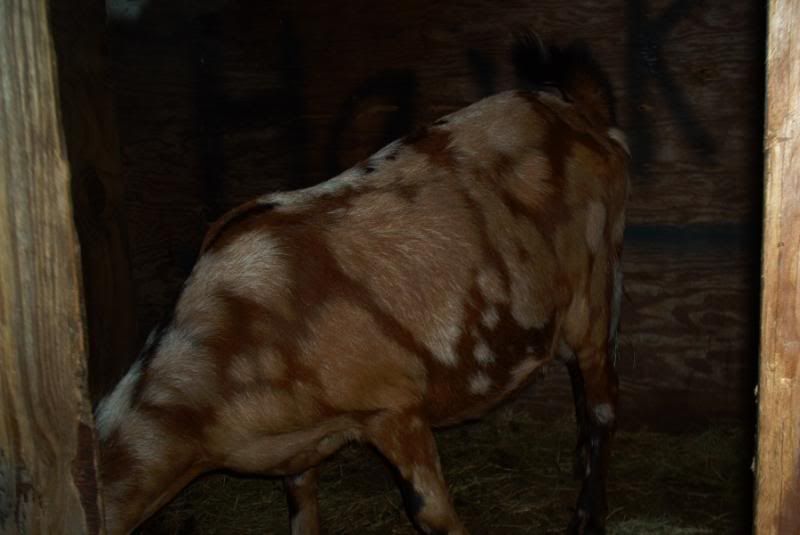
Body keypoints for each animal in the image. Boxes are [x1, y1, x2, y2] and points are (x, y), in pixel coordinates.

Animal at [95, 34, 629, 535]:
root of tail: (580, 112)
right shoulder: (300, 449)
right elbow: (301, 505)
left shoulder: (393, 407)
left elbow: (430, 513)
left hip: (596, 289)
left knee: (602, 407)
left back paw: (588, 517)